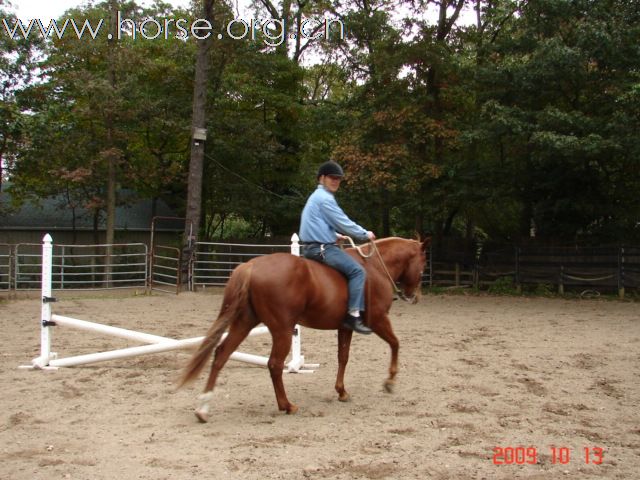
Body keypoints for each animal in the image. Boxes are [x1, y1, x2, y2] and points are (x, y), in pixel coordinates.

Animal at [179, 238, 430, 422]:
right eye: (423, 264)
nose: (414, 296)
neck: (375, 267)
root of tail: (251, 266)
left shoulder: (345, 327)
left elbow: (343, 357)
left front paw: (341, 391)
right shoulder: (378, 320)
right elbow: (395, 343)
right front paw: (390, 381)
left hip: (244, 323)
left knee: (221, 354)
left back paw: (203, 408)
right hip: (282, 330)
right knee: (274, 364)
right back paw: (287, 405)